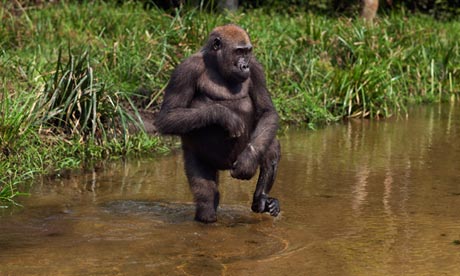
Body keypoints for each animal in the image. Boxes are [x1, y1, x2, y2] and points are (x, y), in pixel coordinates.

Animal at [155, 23, 280, 222]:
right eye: (238, 51)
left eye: (247, 52)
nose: (245, 65)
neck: (215, 63)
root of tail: (225, 167)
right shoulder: (186, 69)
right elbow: (168, 116)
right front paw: (223, 115)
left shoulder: (256, 68)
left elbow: (267, 112)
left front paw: (248, 161)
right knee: (206, 200)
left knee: (269, 142)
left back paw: (261, 198)